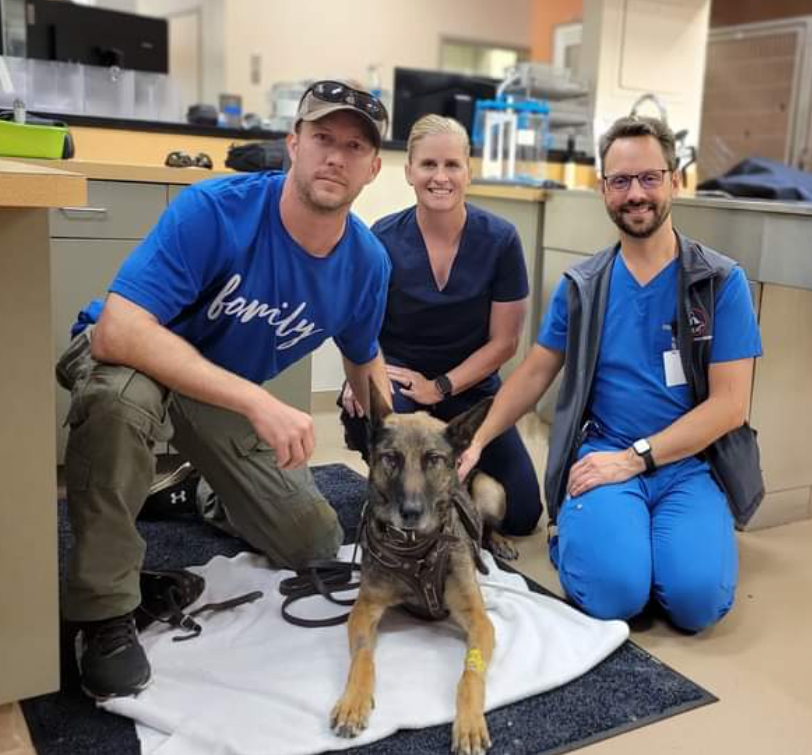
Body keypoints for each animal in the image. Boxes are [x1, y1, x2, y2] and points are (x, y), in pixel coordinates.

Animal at [328, 384, 504, 755]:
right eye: (390, 458)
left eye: (433, 460)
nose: (410, 512)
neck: (416, 548)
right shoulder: (365, 608)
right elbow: (362, 658)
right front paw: (353, 702)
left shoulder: (479, 619)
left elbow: (471, 674)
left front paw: (469, 722)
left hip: (489, 488)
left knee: (491, 524)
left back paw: (498, 543)